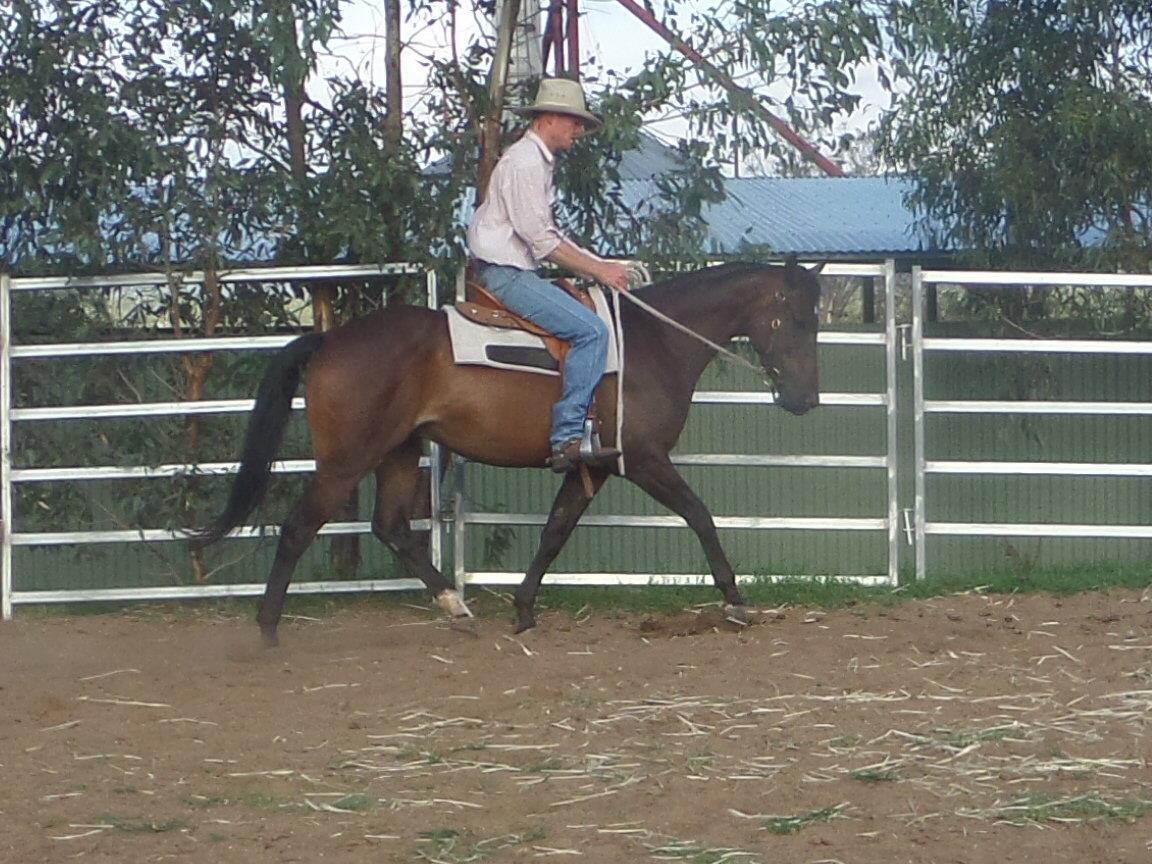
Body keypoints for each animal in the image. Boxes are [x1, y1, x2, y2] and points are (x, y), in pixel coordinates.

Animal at [191, 261, 822, 644]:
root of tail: (330, 340)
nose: (806, 398)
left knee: (391, 527)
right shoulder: (642, 462)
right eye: (794, 318)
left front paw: (523, 610)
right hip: (346, 459)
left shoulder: (592, 466)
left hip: (400, 450)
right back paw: (268, 631)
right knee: (299, 528)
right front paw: (735, 601)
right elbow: (700, 515)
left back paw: (456, 606)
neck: (653, 342)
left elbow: (555, 532)